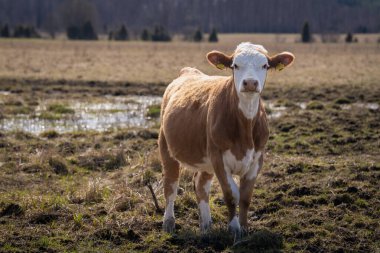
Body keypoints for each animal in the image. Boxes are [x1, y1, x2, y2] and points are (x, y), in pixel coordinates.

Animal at [159, 42, 296, 237]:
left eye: (265, 65)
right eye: (235, 65)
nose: (250, 83)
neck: (245, 129)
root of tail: (188, 72)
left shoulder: (257, 159)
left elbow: (245, 196)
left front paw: (244, 228)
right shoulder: (219, 159)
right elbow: (232, 195)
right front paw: (234, 228)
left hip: (205, 160)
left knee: (200, 186)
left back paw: (206, 225)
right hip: (166, 148)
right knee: (170, 186)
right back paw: (169, 222)